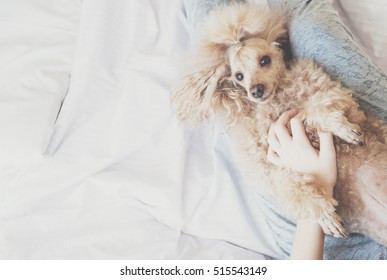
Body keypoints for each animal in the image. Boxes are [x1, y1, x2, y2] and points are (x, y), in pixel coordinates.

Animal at [172, 3, 387, 246]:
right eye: (238, 76)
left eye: (265, 60)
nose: (255, 91)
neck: (277, 101)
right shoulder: (271, 167)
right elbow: (292, 188)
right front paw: (323, 215)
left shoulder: (349, 107)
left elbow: (319, 106)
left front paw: (340, 127)